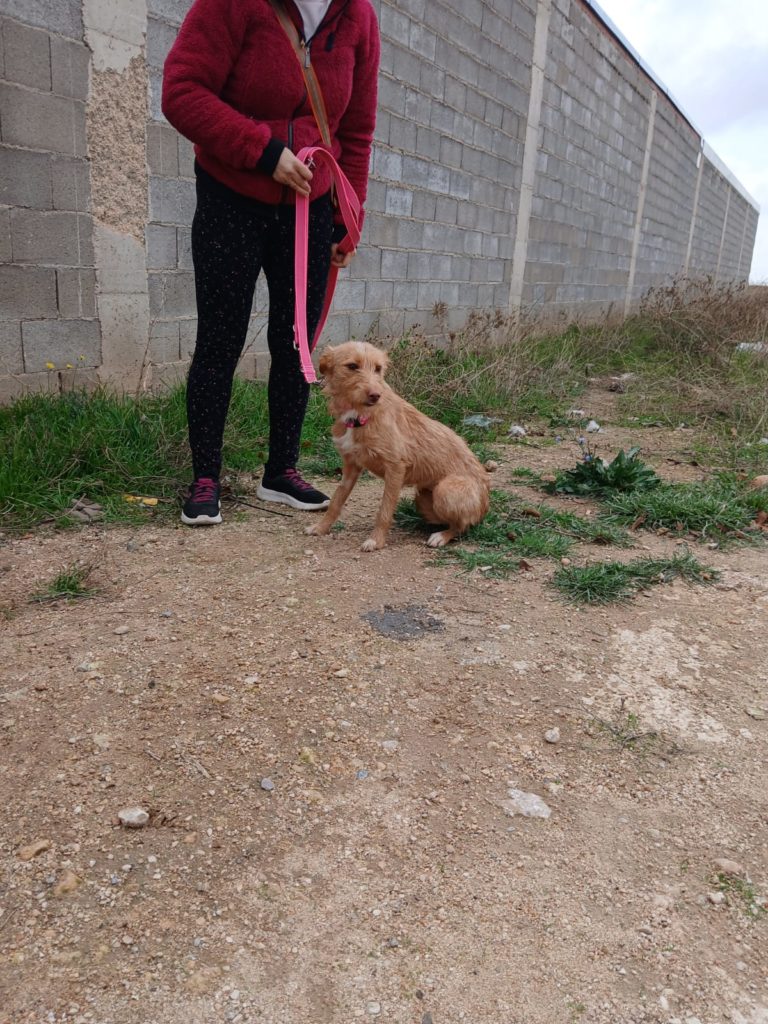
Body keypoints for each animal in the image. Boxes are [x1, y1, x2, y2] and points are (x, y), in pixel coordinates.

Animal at [305, 342, 489, 552]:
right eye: (352, 366)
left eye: (378, 368)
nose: (375, 395)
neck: (360, 414)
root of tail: (486, 500)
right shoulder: (351, 466)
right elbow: (336, 500)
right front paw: (320, 527)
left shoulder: (396, 467)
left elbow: (384, 510)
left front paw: (376, 541)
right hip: (422, 497)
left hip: (446, 489)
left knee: (463, 525)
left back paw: (442, 536)